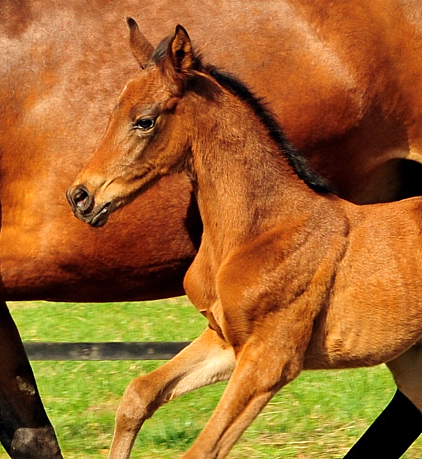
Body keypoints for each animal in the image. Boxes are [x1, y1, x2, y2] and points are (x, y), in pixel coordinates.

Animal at [4, 0, 422, 458]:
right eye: (113, 110)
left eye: (145, 121)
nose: (80, 196)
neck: (262, 230)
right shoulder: (223, 341)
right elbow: (137, 395)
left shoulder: (270, 360)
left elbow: (201, 448)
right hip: (410, 359)